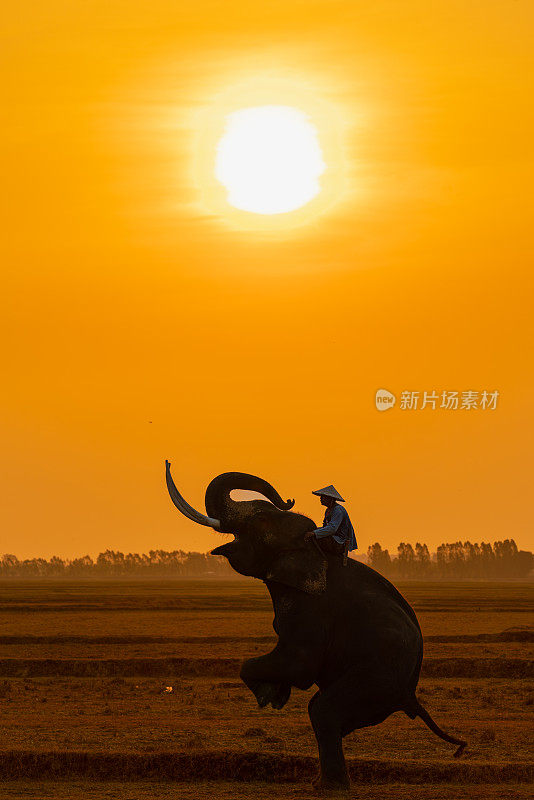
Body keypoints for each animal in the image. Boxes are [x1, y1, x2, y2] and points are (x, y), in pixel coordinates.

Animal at [165, 466, 466, 792]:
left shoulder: (311, 610)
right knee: (322, 710)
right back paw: (322, 782)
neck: (315, 548)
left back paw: (330, 786)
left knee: (323, 711)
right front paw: (276, 693)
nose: (288, 499)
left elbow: (299, 664)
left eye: (260, 521)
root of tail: (411, 696)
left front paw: (269, 697)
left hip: (377, 676)